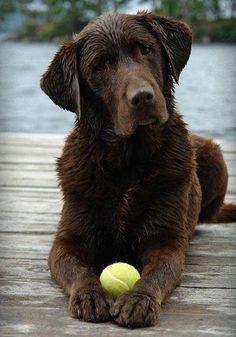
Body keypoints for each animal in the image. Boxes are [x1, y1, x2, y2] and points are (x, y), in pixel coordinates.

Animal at [40, 13, 236, 328]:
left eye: (145, 50)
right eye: (100, 65)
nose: (142, 97)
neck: (127, 161)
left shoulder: (165, 242)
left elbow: (156, 273)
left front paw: (138, 300)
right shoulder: (68, 241)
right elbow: (77, 270)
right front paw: (90, 295)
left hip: (214, 156)